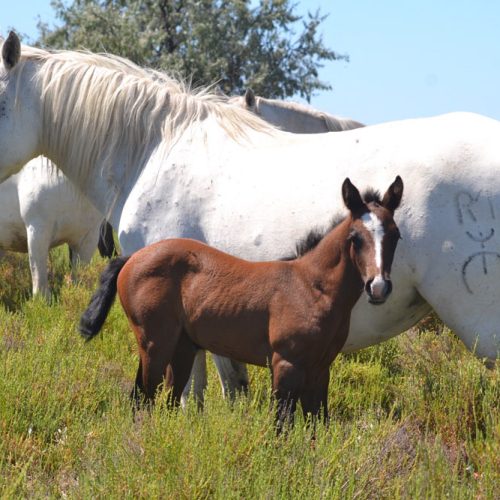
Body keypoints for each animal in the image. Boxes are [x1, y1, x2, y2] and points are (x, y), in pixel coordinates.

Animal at [80, 177, 404, 430]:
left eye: (396, 235)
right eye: (355, 238)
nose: (378, 287)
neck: (311, 287)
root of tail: (131, 258)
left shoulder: (320, 368)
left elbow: (316, 426)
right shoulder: (286, 365)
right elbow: (281, 426)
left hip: (182, 348)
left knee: (169, 400)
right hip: (154, 345)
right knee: (142, 400)